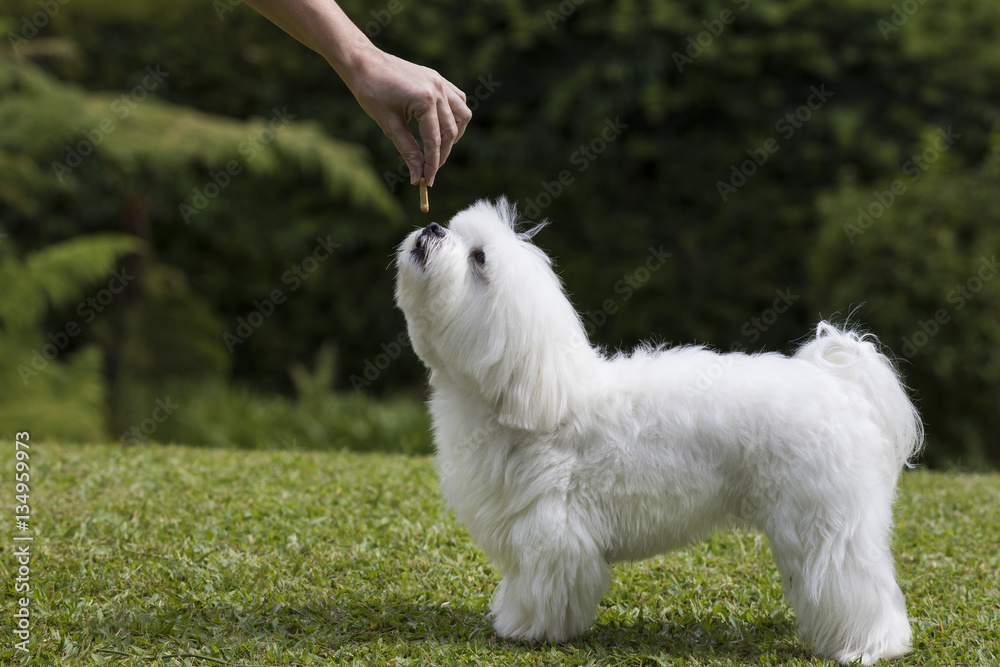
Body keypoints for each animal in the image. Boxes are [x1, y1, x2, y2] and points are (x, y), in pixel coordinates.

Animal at [392, 198, 920, 664]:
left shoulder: (552, 530)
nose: (432, 227)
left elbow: (544, 587)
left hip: (825, 526)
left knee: (855, 585)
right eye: (455, 231)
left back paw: (869, 646)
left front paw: (529, 628)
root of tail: (840, 385)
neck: (537, 395)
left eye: (479, 258)